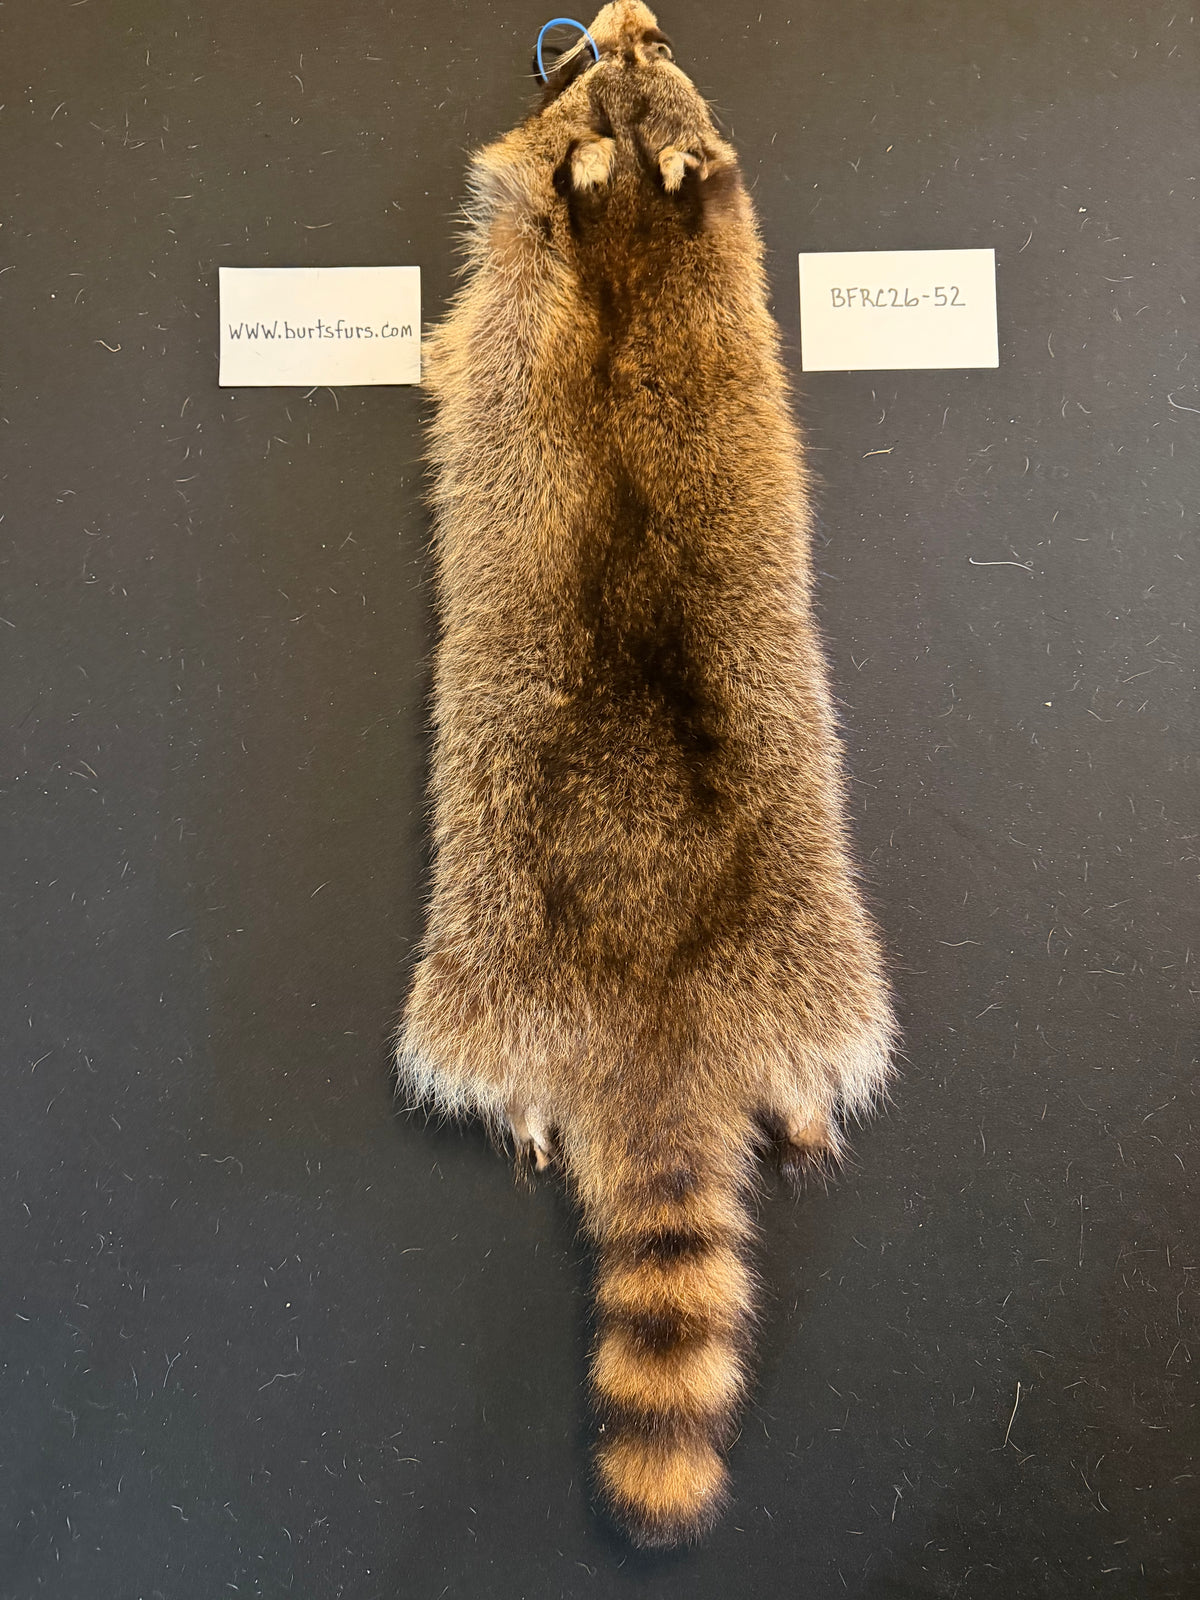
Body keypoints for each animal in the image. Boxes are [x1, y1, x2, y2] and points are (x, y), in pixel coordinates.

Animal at [397, 1, 896, 1547]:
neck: (620, 231)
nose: (612, 15)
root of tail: (657, 1023)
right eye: (582, 59)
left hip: (709, 931)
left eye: (656, 41)